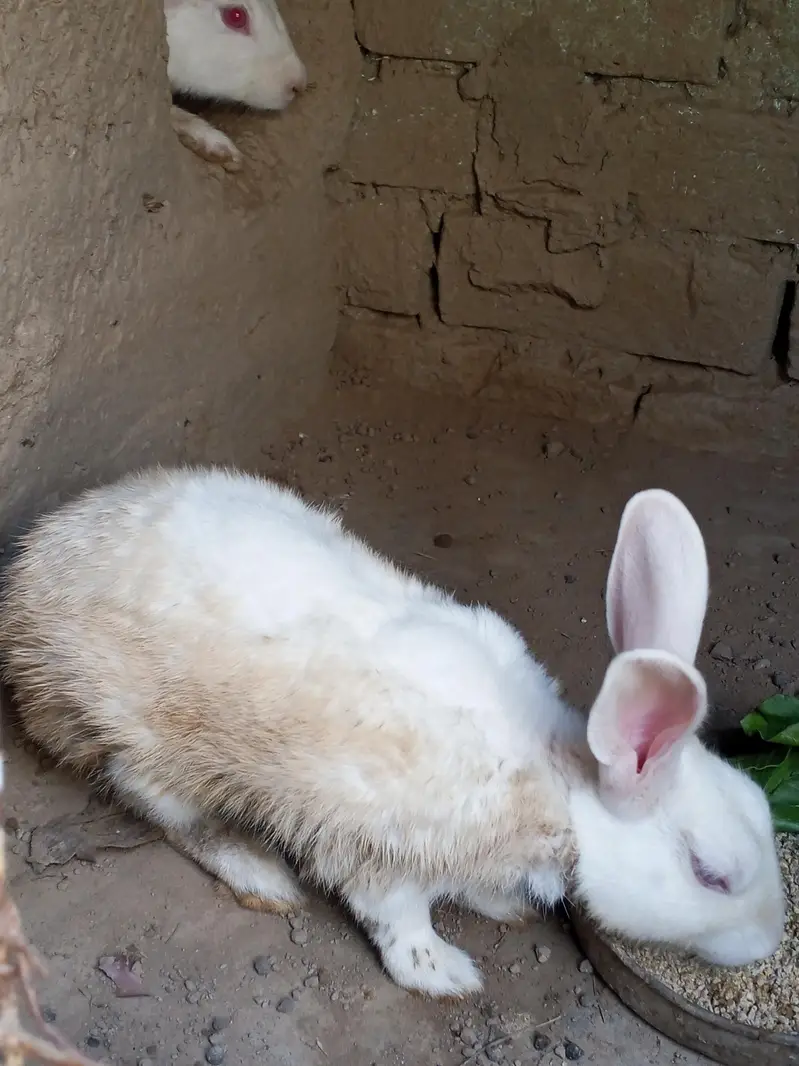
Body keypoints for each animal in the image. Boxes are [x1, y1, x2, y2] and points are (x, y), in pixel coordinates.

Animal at [0, 468, 785, 997]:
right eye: (711, 876)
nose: (766, 942)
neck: (558, 783)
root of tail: (28, 586)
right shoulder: (376, 847)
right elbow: (398, 916)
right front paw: (442, 973)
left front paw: (499, 905)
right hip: (151, 743)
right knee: (166, 810)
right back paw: (260, 874)